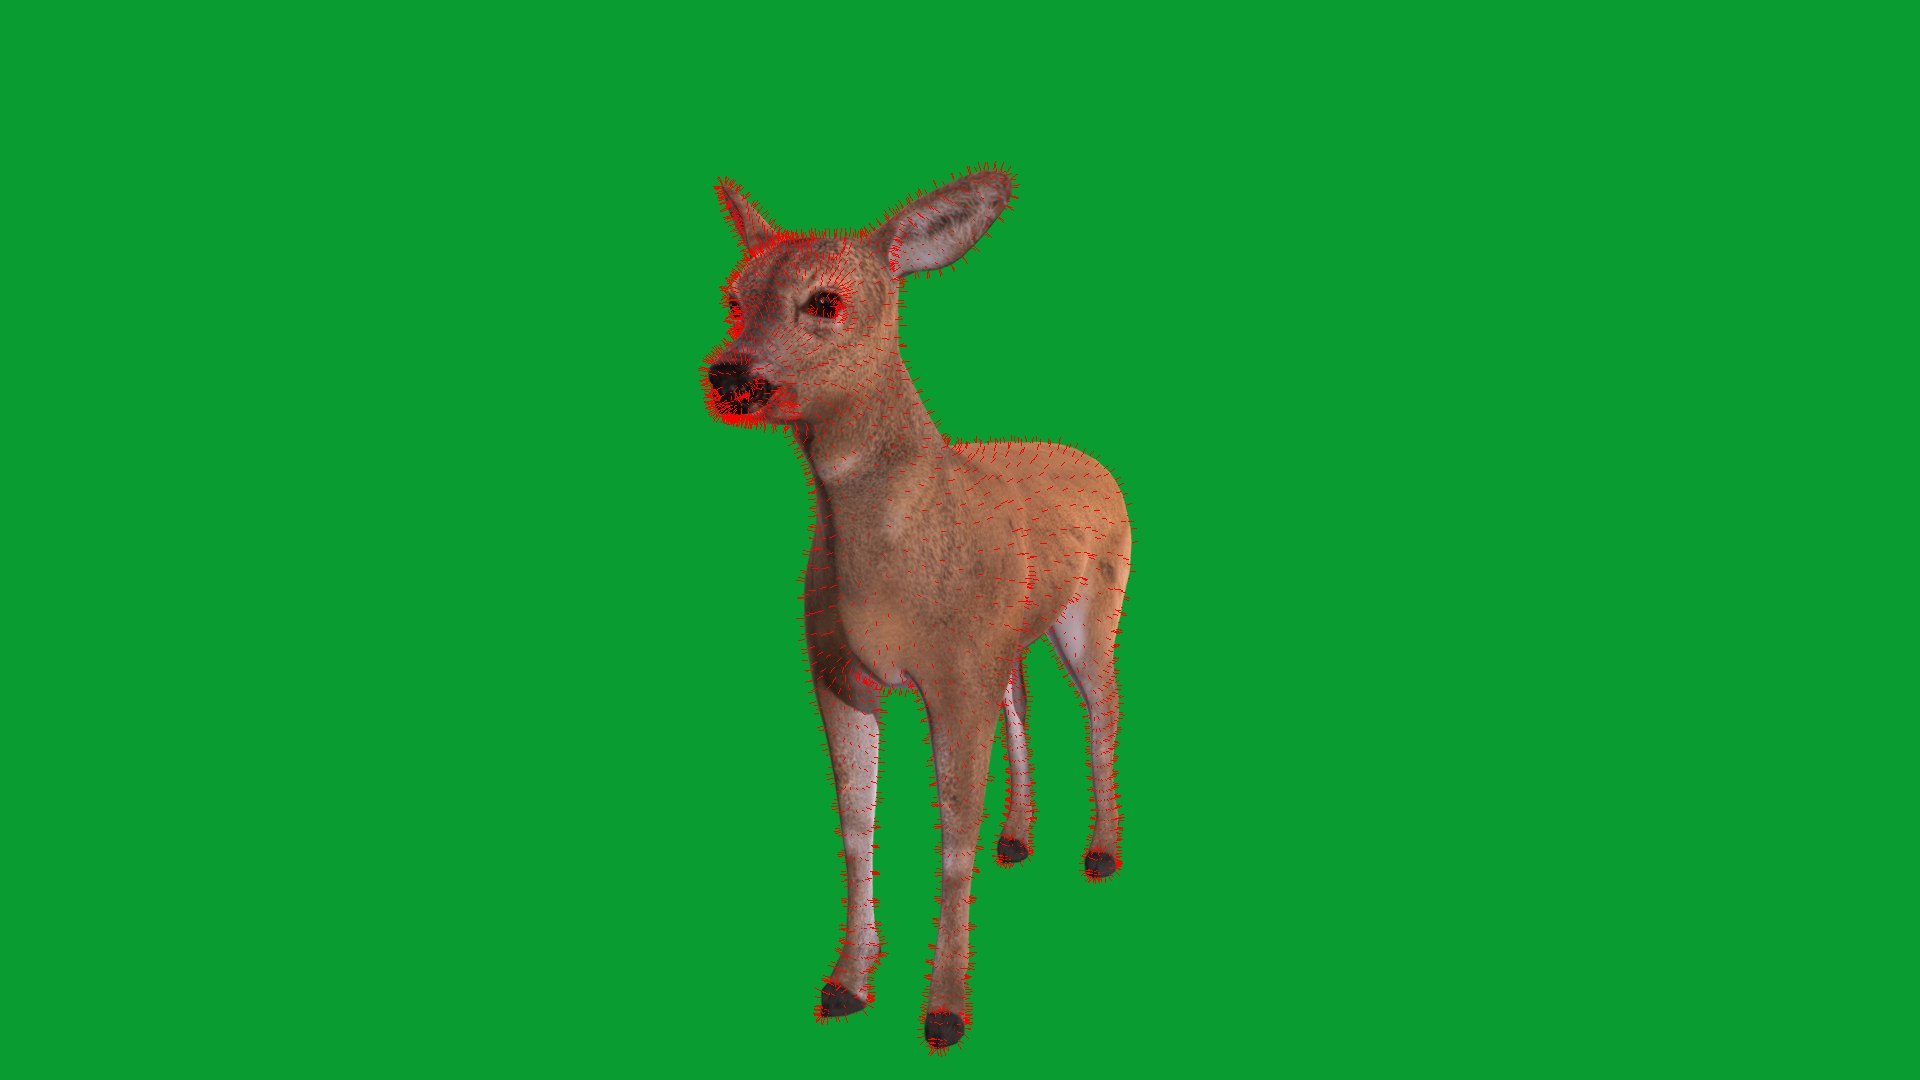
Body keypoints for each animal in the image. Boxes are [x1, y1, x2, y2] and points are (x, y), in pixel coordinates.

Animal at [700, 166, 1133, 1050]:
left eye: (824, 300)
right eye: (733, 296)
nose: (729, 373)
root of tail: (1094, 462)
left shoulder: (954, 671)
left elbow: (953, 836)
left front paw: (945, 1010)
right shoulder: (840, 670)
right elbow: (855, 820)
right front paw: (846, 981)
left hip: (1097, 600)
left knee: (1101, 704)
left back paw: (1100, 852)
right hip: (1007, 632)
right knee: (1023, 697)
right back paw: (1019, 837)